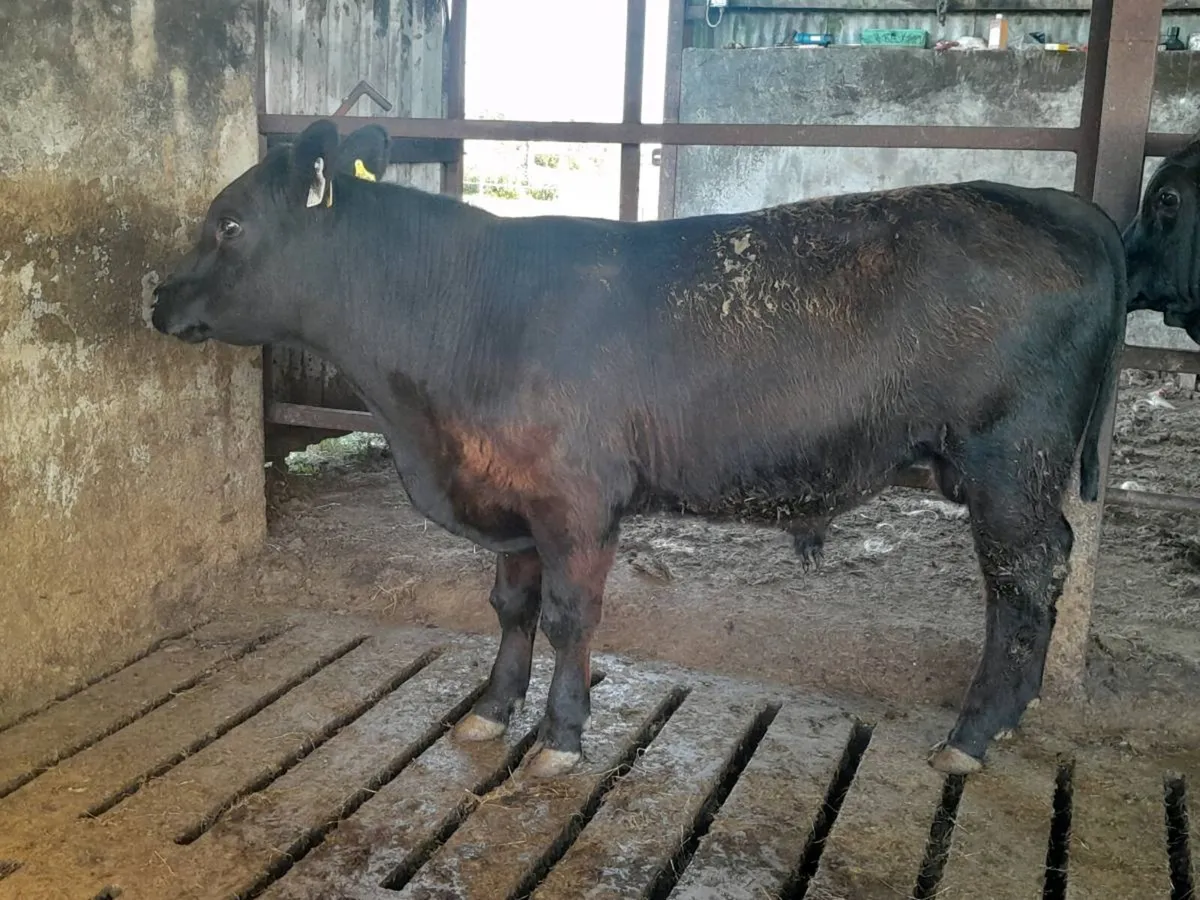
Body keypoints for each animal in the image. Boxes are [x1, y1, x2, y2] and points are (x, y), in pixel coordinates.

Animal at [151, 120, 1127, 779]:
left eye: (229, 224)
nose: (155, 297)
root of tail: (1055, 202)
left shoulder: (577, 504)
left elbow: (569, 618)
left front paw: (560, 737)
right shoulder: (513, 503)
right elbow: (509, 608)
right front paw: (491, 712)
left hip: (1012, 466)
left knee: (1025, 579)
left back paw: (974, 733)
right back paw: (1006, 719)